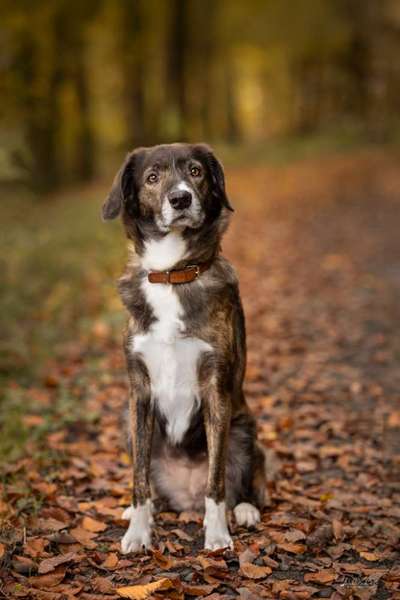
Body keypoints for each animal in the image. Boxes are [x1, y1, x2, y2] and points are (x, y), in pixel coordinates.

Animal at [101, 142, 268, 552]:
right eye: (152, 177)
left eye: (196, 172)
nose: (180, 199)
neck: (172, 274)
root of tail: (184, 498)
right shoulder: (139, 392)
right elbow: (139, 481)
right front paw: (138, 533)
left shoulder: (215, 389)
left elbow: (216, 482)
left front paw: (218, 534)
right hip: (128, 425)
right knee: (150, 483)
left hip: (245, 431)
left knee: (246, 482)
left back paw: (244, 510)